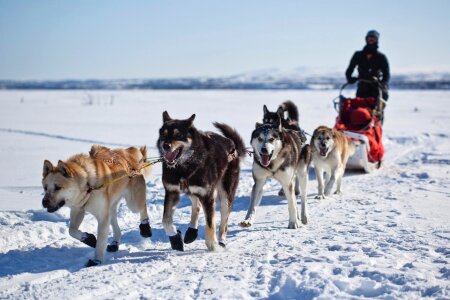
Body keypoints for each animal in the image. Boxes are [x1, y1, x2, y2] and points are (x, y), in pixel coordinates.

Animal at [156, 111, 244, 250]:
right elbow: (165, 220)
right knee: (196, 205)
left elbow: (210, 223)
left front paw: (213, 246)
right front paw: (175, 238)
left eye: (178, 135)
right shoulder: (172, 191)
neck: (183, 167)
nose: (165, 146)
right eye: (163, 135)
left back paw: (221, 241)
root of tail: (232, 145)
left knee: (224, 222)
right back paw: (192, 231)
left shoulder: (208, 196)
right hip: (191, 190)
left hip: (225, 195)